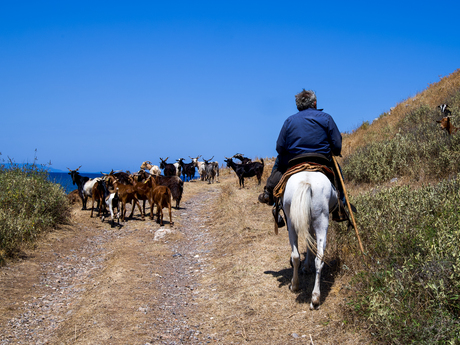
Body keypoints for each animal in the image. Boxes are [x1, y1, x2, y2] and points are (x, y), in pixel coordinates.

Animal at [280, 171, 338, 308]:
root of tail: (307, 182)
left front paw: (305, 267)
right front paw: (306, 266)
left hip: (291, 222)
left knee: (295, 256)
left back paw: (295, 285)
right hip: (321, 221)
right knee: (318, 259)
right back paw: (315, 298)